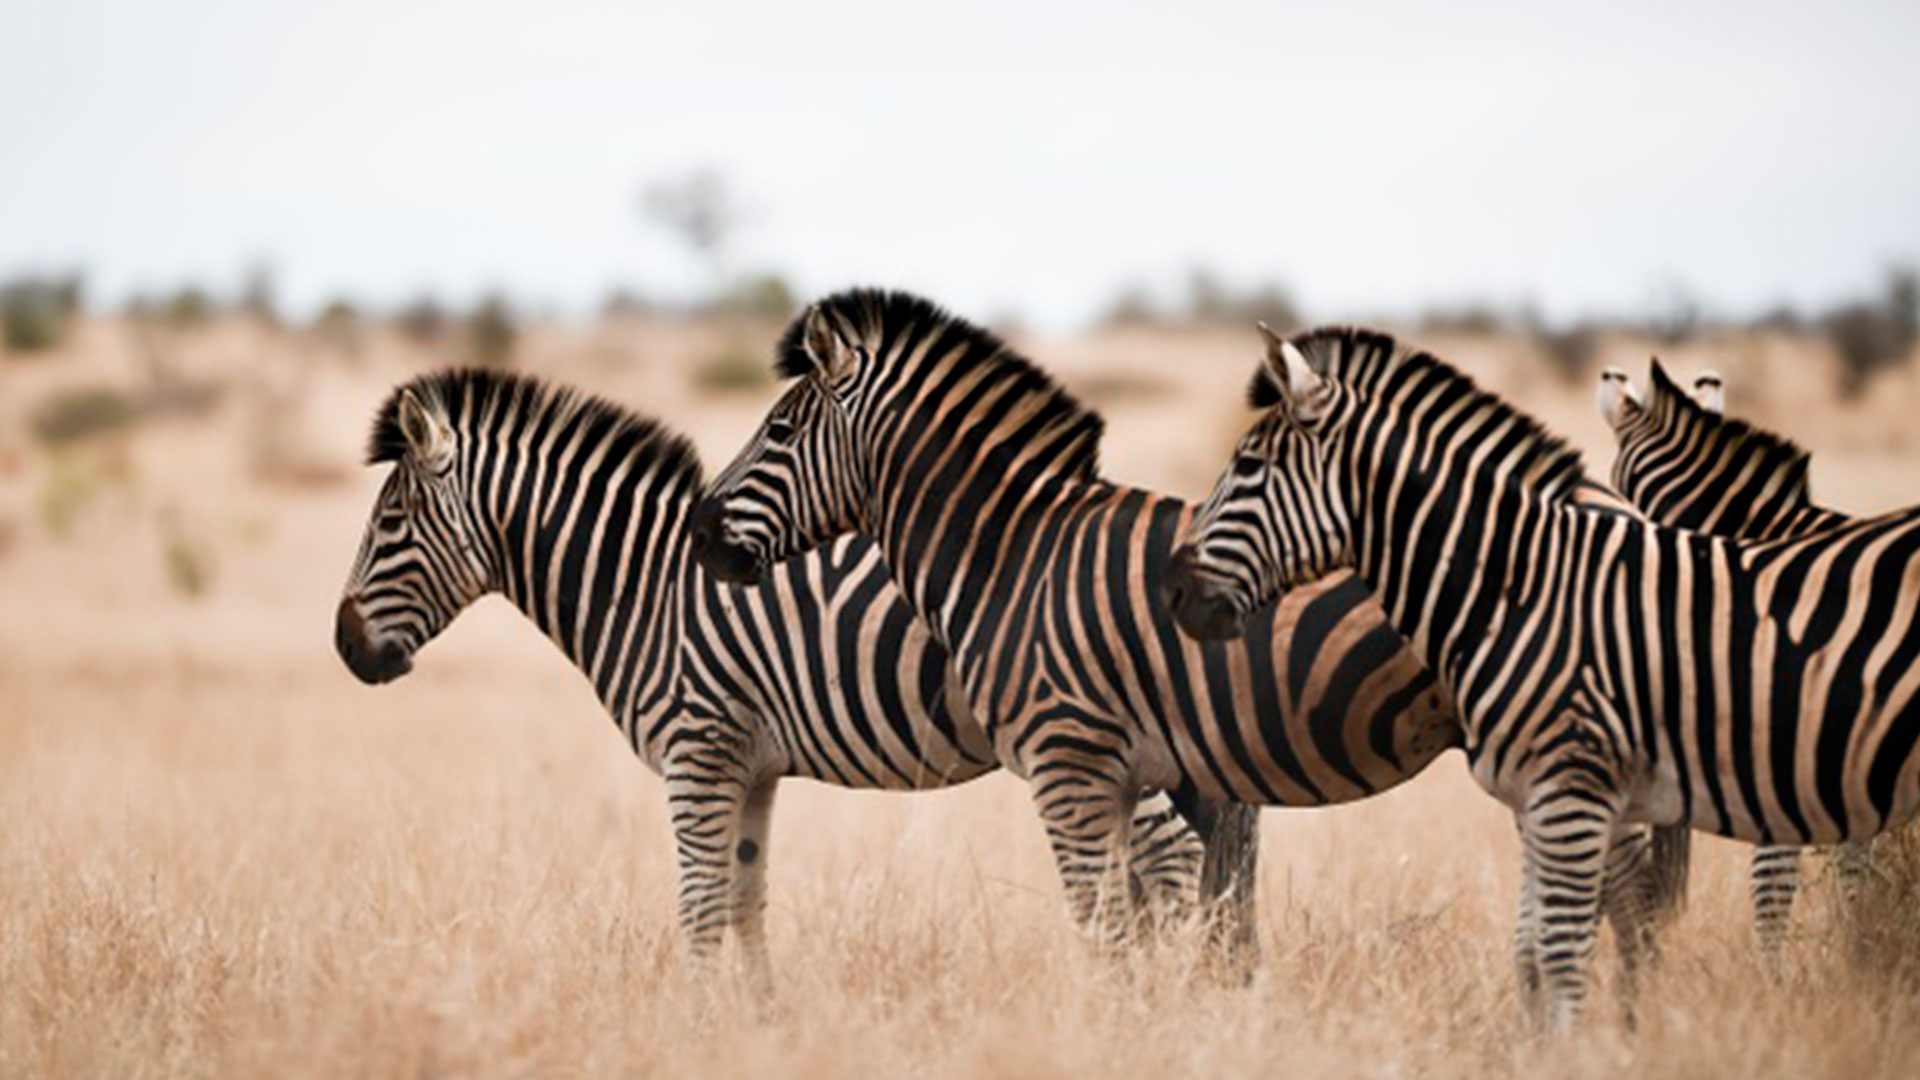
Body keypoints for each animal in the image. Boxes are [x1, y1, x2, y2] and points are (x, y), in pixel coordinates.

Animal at [332, 368, 1214, 999]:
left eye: (390, 524)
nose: (345, 648)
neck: (643, 588)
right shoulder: (750, 767)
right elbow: (744, 897)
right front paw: (761, 1020)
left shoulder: (696, 753)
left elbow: (699, 903)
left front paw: (696, 1026)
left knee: (1172, 858)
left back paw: (1167, 999)